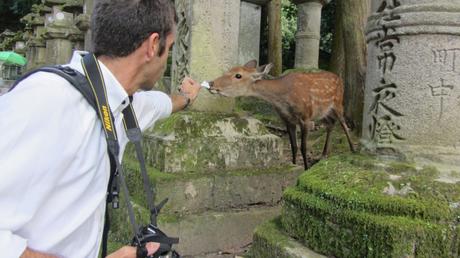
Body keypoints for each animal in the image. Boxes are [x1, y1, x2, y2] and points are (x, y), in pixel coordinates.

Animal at [208, 59, 356, 170]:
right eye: (229, 70)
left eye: (238, 75)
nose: (211, 83)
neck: (284, 99)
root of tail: (339, 78)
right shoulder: (287, 120)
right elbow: (293, 147)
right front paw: (294, 164)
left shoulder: (306, 117)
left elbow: (303, 147)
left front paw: (305, 168)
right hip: (323, 112)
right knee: (330, 124)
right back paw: (324, 155)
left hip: (338, 103)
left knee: (343, 123)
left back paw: (353, 149)